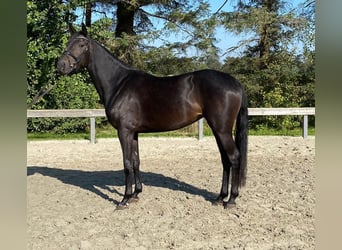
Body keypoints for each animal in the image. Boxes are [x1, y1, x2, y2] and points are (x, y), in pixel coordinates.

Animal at [56, 24, 248, 209]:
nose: (60, 66)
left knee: (234, 157)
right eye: (68, 43)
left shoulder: (124, 131)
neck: (119, 83)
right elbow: (136, 161)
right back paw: (220, 197)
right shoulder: (133, 133)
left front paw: (124, 199)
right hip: (218, 129)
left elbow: (127, 163)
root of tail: (235, 83)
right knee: (225, 160)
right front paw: (136, 194)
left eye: (82, 45)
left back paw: (231, 200)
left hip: (222, 130)